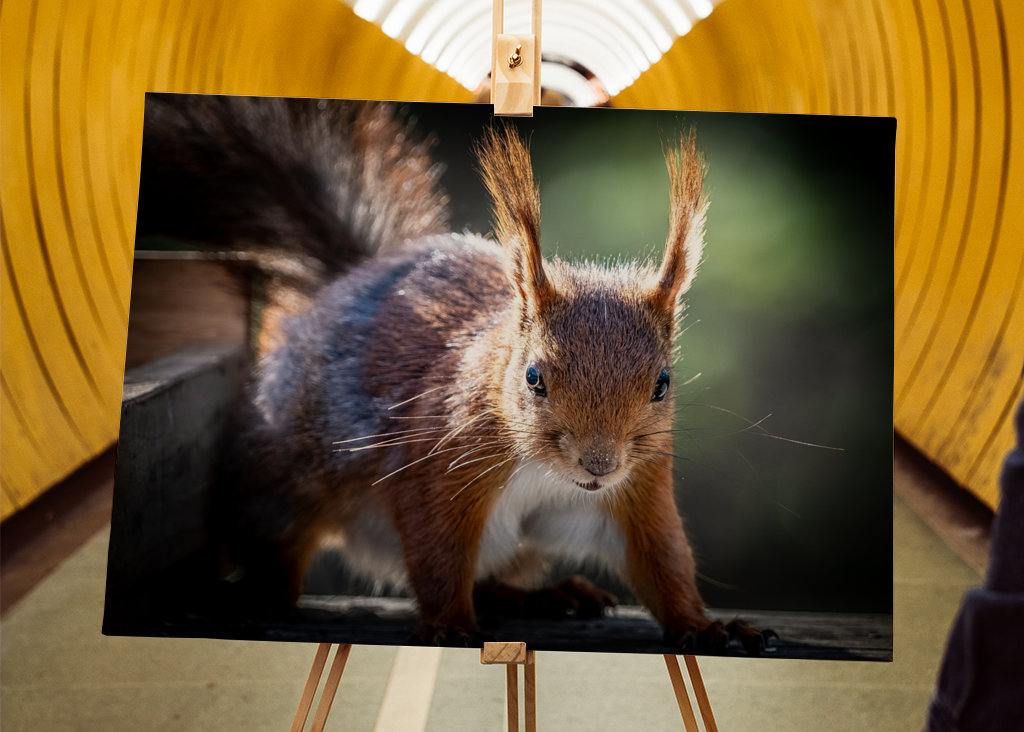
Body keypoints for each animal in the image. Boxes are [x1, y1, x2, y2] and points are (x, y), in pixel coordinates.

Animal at [138, 94, 772, 655]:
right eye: (534, 377)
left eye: (662, 384)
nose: (598, 465)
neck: (548, 472)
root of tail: (341, 283)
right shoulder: (438, 460)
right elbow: (437, 550)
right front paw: (447, 626)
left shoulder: (639, 486)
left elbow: (662, 563)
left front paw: (707, 627)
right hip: (281, 484)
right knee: (276, 552)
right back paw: (259, 596)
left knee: (494, 579)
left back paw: (546, 596)